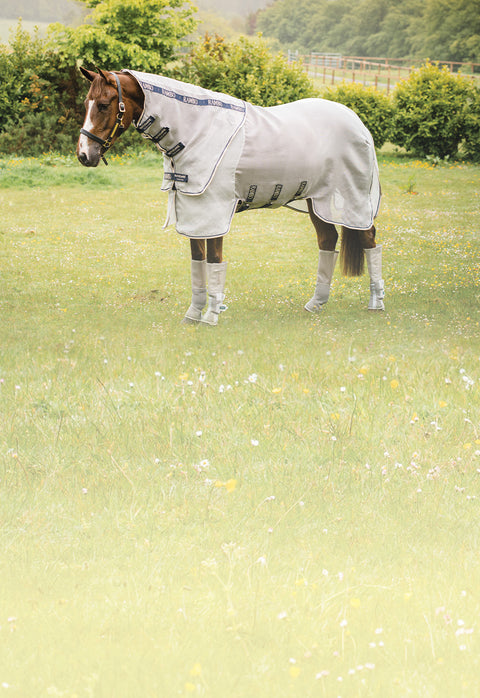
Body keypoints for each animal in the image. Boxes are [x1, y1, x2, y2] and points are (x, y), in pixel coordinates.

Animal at [77, 67, 385, 325]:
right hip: (315, 201)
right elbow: (198, 261)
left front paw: (211, 317)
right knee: (328, 240)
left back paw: (376, 304)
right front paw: (193, 315)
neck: (196, 130)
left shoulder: (215, 212)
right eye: (86, 104)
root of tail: (357, 123)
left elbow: (214, 260)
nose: (84, 155)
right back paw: (315, 304)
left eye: (103, 105)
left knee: (369, 240)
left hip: (354, 198)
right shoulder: (195, 213)